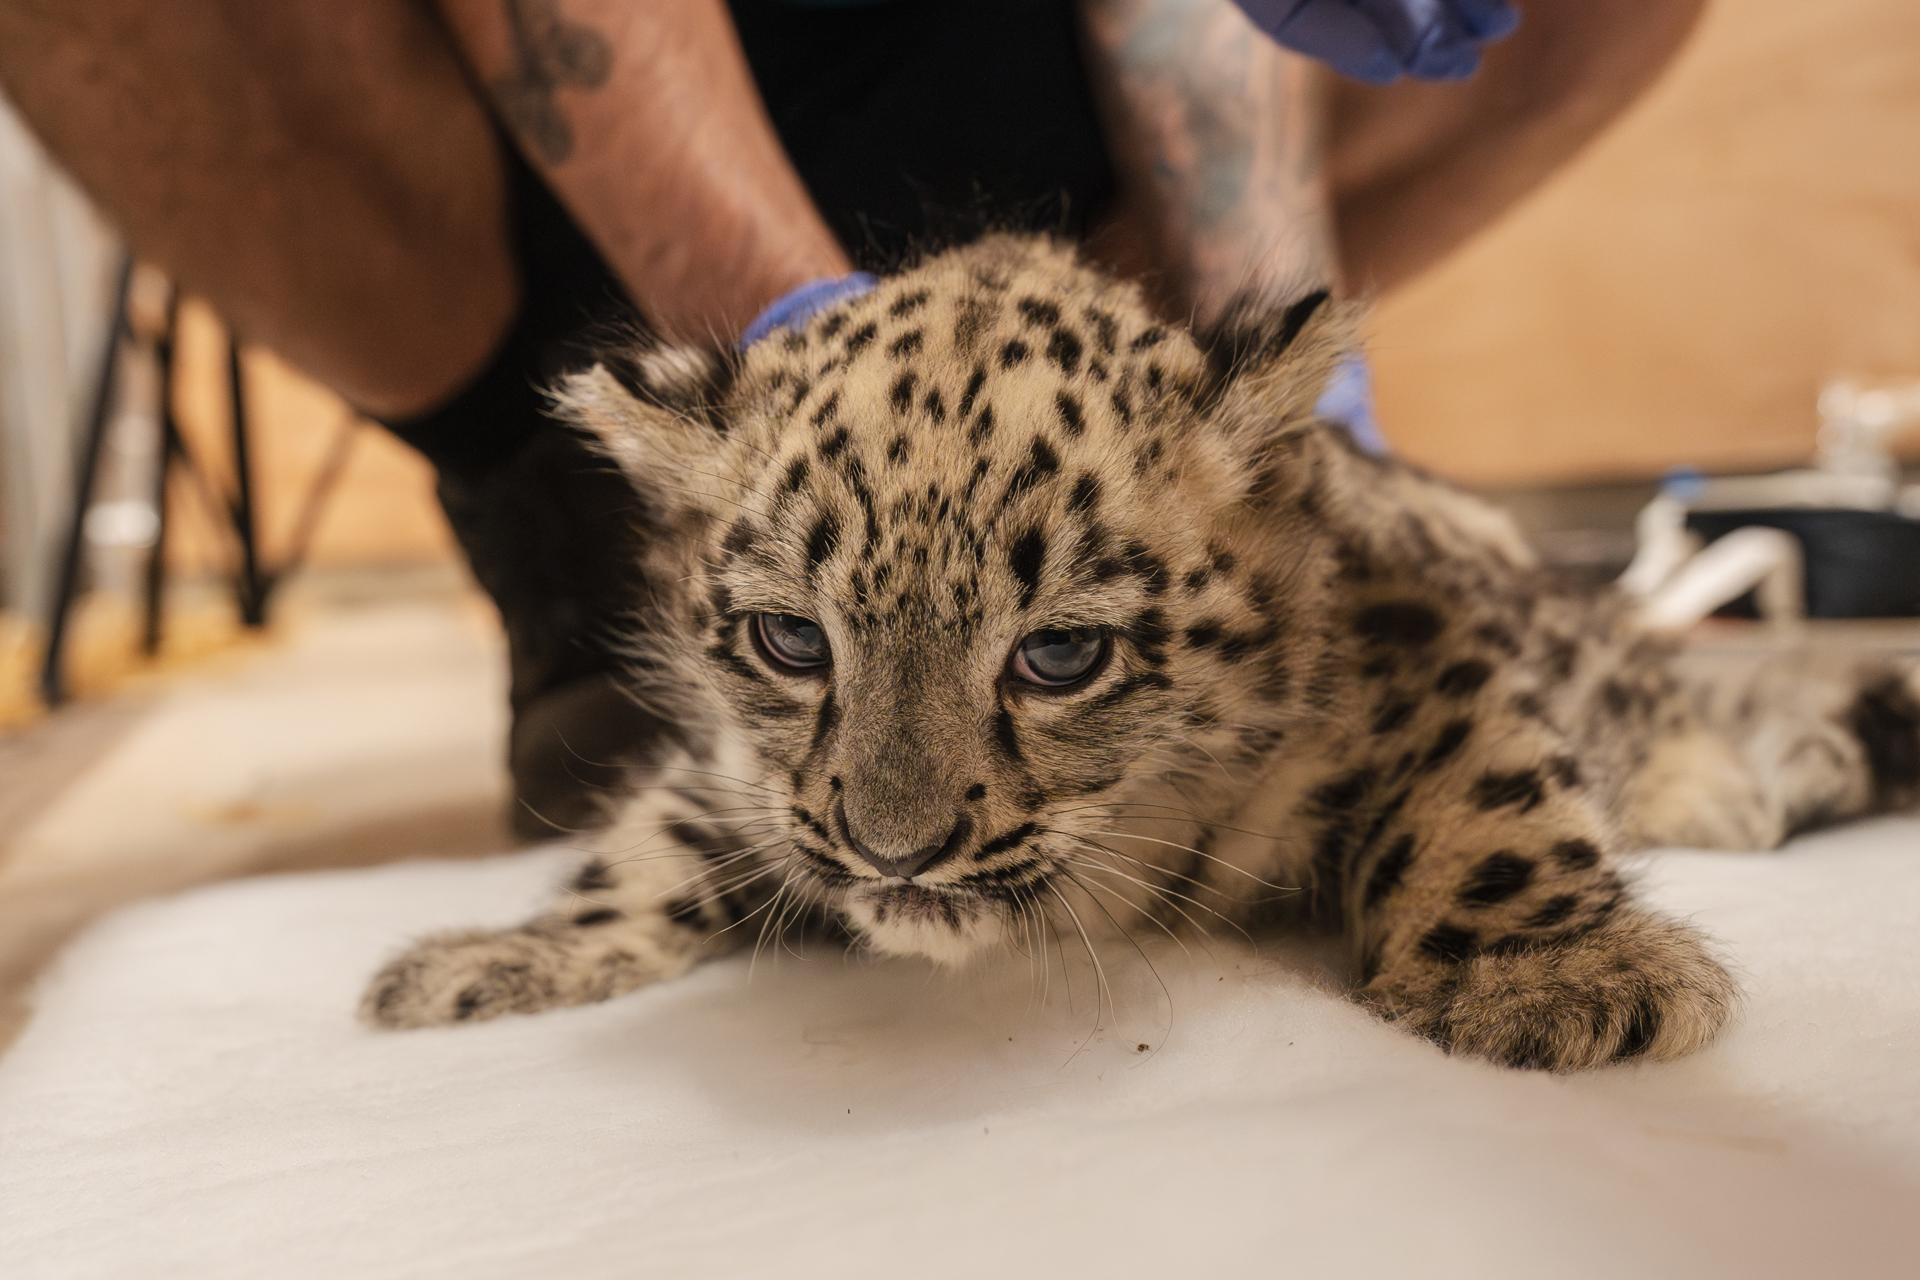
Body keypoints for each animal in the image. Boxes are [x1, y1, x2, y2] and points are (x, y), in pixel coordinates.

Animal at [362, 235, 1920, 1070]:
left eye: (1058, 656)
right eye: (793, 639)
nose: (894, 851)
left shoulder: (1422, 646)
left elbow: (1486, 794)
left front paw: (1555, 978)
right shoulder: (737, 775)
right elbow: (650, 841)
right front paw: (499, 955)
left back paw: (1747, 774)